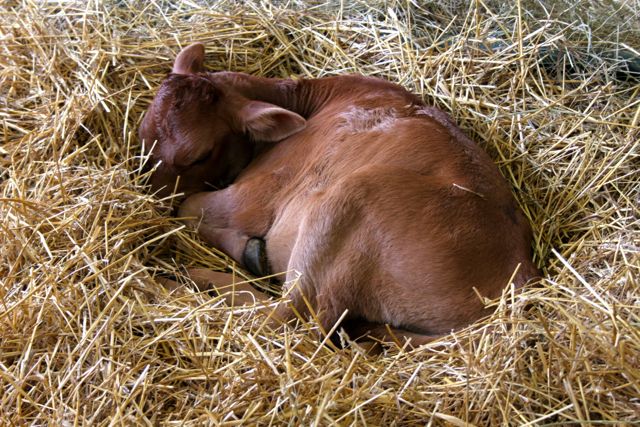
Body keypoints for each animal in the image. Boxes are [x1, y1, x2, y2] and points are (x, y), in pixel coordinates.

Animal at [140, 41, 540, 346]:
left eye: (198, 155)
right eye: (144, 129)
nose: (148, 195)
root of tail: (522, 276)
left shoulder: (258, 194)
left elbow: (188, 208)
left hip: (350, 200)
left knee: (289, 321)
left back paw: (173, 280)